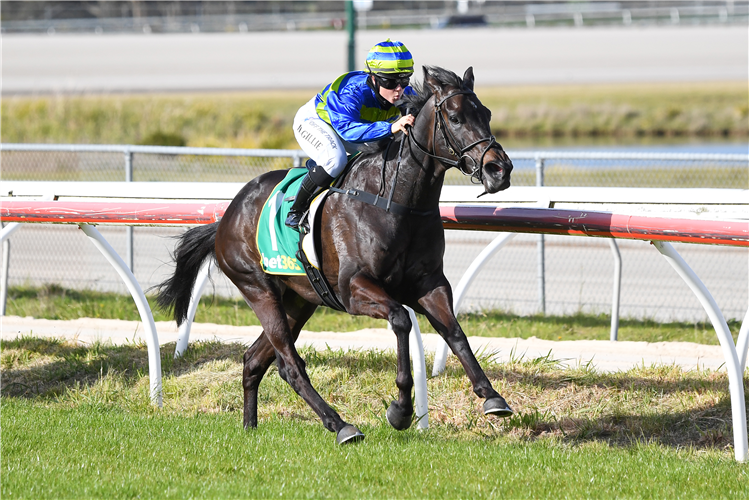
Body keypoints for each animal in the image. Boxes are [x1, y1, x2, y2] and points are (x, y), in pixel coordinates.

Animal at [153, 64, 516, 444]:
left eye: (487, 114)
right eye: (456, 117)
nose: (499, 169)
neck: (395, 201)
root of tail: (225, 218)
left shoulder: (429, 283)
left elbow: (454, 331)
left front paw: (492, 397)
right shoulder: (353, 289)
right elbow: (401, 319)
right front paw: (400, 409)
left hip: (299, 299)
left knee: (254, 359)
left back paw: (250, 426)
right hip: (258, 290)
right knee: (289, 364)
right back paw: (341, 425)